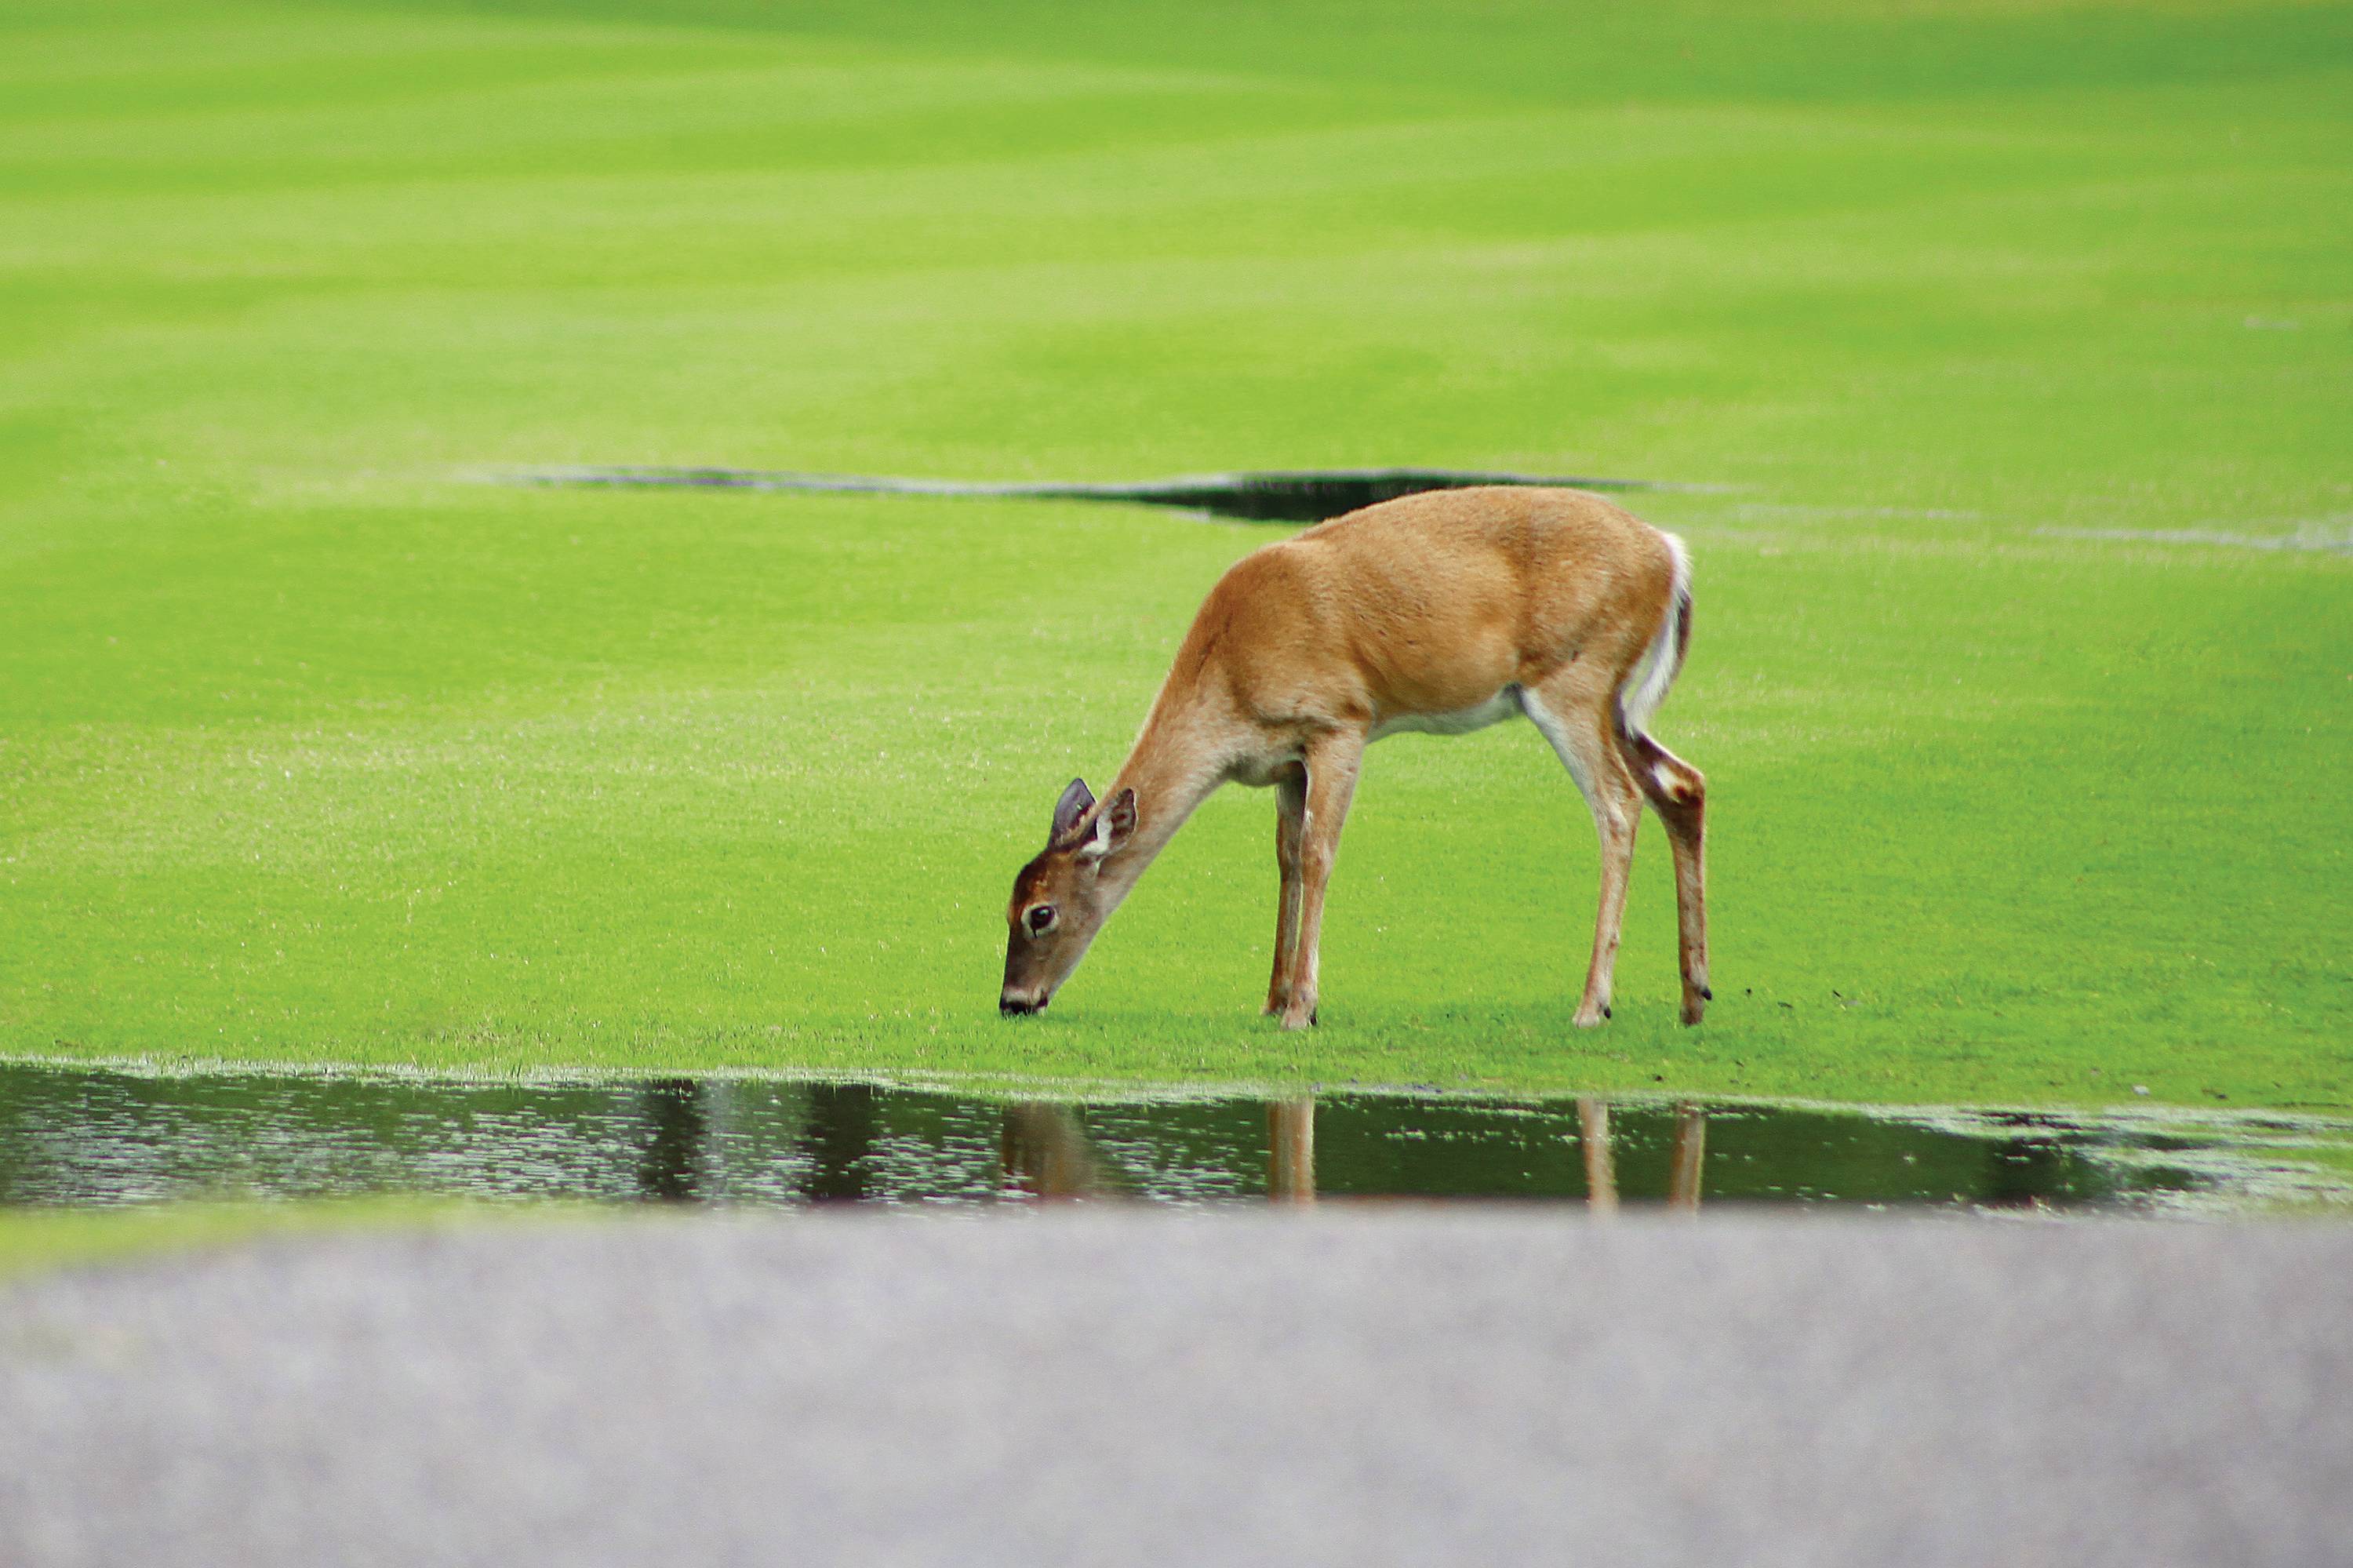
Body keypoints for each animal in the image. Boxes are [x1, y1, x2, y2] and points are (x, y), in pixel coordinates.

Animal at [999, 485, 1708, 1031]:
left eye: (1041, 913)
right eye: (1006, 902)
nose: (1012, 1001)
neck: (1230, 678)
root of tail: (1670, 554)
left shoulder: (1339, 721)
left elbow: (1318, 854)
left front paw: (1301, 1009)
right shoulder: (1285, 762)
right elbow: (1286, 860)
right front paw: (1272, 999)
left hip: (1575, 676)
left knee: (1619, 803)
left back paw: (1593, 1005)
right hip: (1614, 700)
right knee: (1683, 784)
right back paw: (1693, 998)